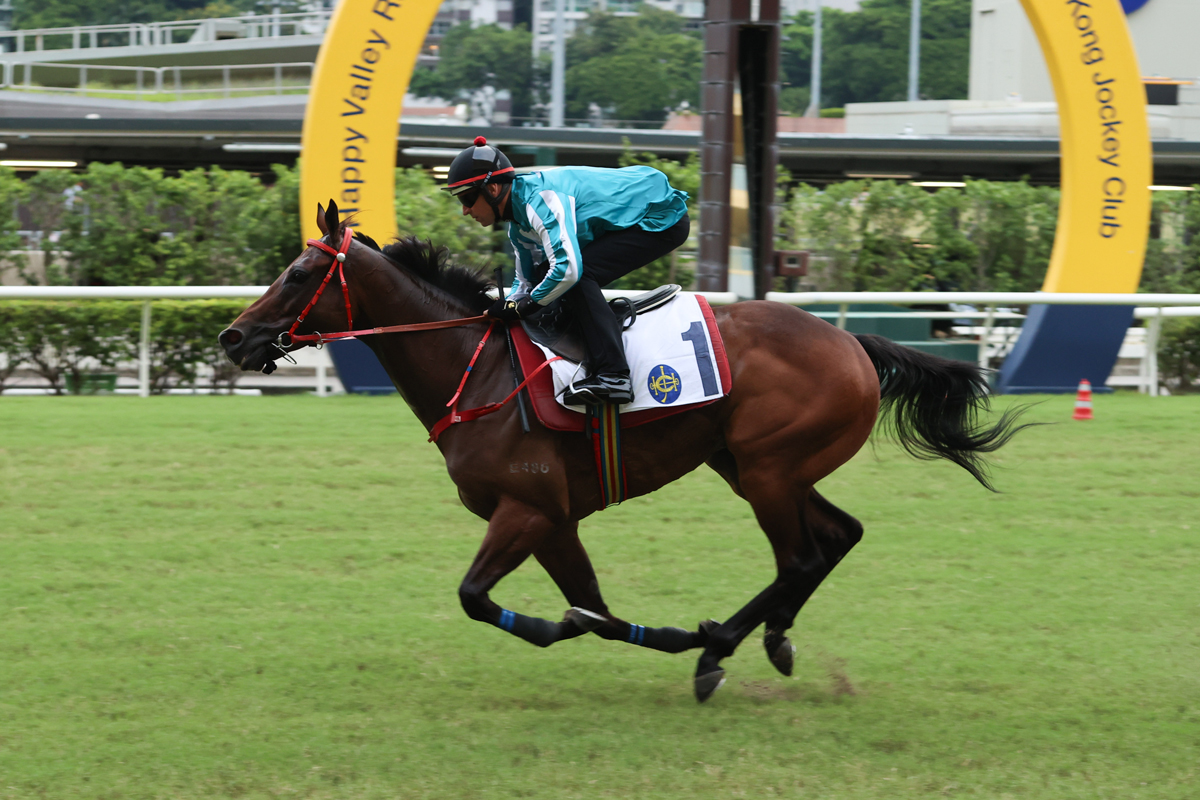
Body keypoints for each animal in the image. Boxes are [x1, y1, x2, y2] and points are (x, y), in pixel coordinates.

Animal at [216, 203, 1022, 705]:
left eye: (297, 274)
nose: (232, 337)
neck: (478, 371)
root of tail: (852, 342)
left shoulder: (526, 509)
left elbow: (482, 597)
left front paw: (658, 634)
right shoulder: (554, 520)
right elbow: (592, 606)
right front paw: (632, 630)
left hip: (769, 468)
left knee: (799, 557)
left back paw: (717, 648)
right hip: (753, 465)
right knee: (837, 537)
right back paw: (767, 638)